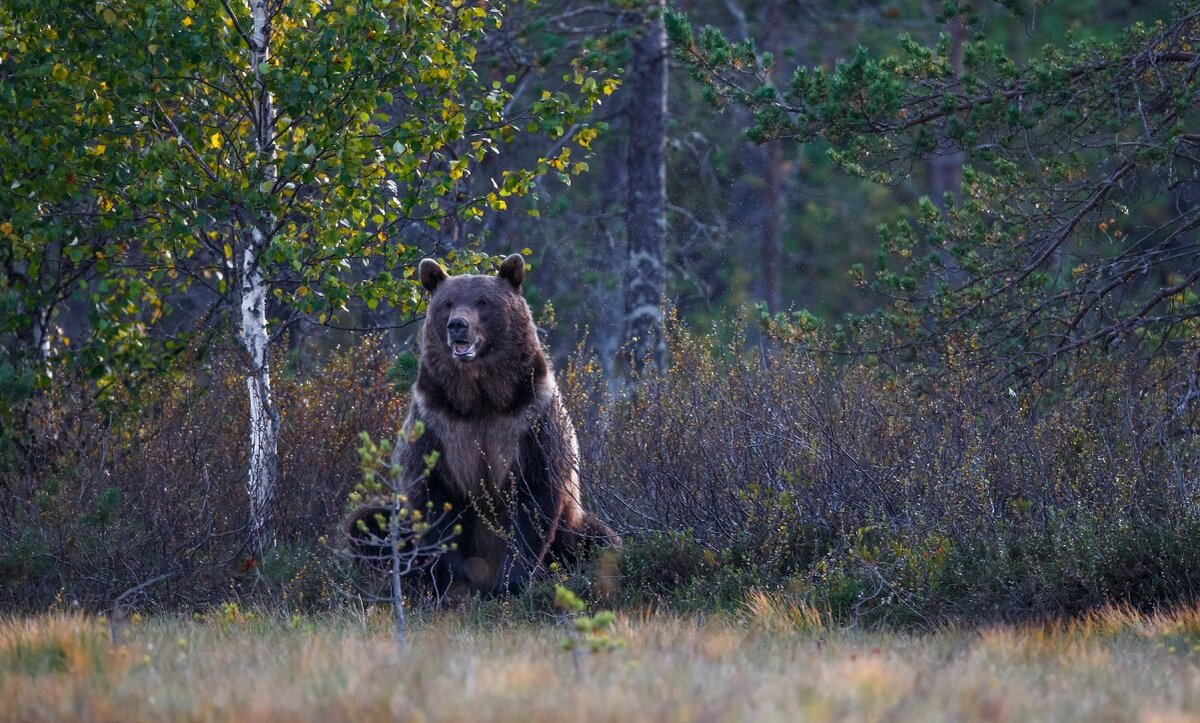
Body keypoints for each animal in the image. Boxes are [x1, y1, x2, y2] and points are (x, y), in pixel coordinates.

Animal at [343, 255, 614, 593]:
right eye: (447, 303)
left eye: (483, 302)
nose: (457, 324)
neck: (481, 400)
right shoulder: (436, 423)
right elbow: (432, 499)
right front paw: (451, 580)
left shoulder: (530, 418)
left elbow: (536, 498)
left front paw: (511, 580)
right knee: (365, 522)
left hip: (574, 525)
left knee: (602, 540)